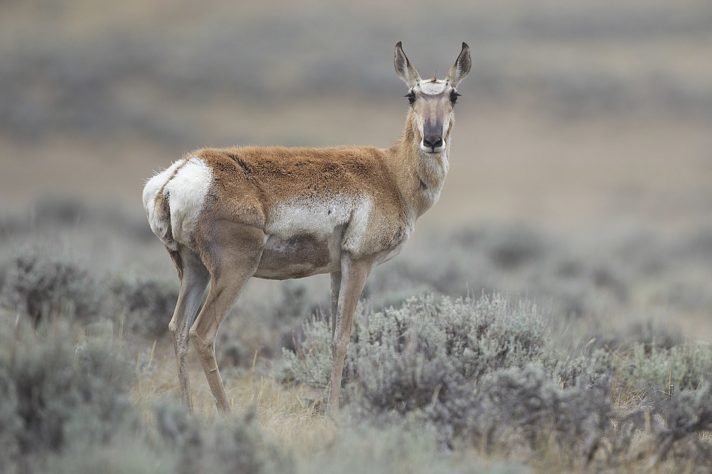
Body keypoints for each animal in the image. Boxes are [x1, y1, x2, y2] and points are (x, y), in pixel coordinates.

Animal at [141, 42, 470, 412]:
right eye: (411, 95)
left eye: (454, 95)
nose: (433, 139)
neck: (391, 173)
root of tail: (180, 173)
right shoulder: (359, 263)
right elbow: (343, 337)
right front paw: (334, 412)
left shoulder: (337, 269)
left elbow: (331, 335)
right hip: (234, 271)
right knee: (202, 333)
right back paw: (227, 412)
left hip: (192, 270)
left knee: (178, 329)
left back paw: (188, 410)